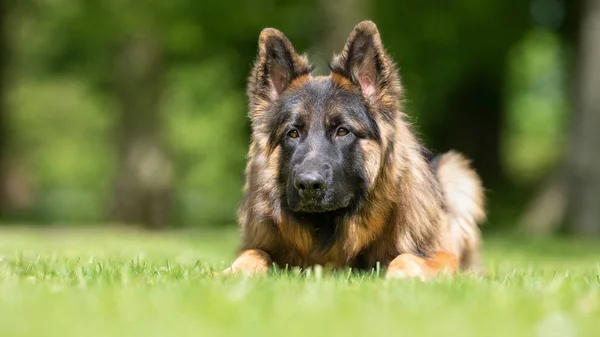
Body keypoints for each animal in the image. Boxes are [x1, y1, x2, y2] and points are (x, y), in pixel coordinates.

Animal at [223, 19, 486, 280]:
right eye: (293, 133)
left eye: (342, 131)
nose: (308, 184)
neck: (329, 227)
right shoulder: (260, 243)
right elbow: (254, 253)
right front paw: (232, 272)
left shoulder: (442, 254)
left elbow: (406, 258)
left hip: (456, 173)